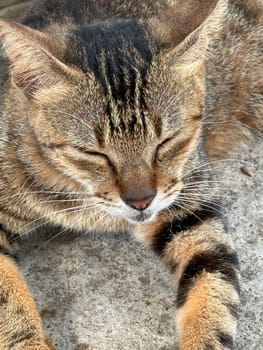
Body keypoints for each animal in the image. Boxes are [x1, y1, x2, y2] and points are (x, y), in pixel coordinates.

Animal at [0, 0, 262, 348]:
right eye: (93, 153)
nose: (141, 200)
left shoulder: (191, 205)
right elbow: (10, 305)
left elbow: (215, 290)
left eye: (166, 141)